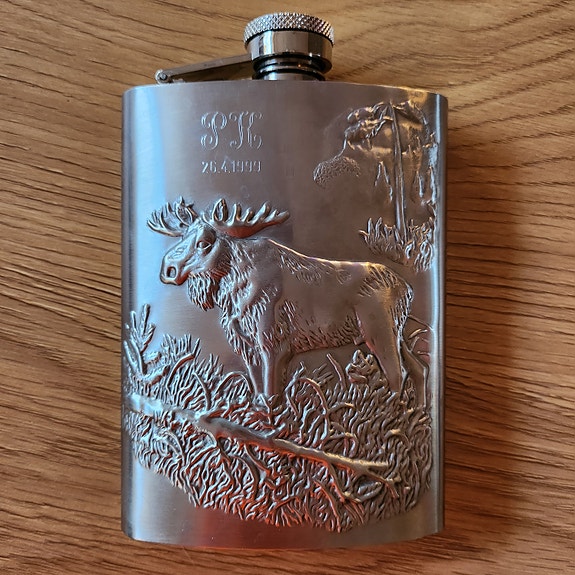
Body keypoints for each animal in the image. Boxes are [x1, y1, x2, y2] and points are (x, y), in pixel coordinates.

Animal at [148, 197, 414, 399]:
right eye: (182, 237)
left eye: (204, 243)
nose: (167, 269)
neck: (235, 293)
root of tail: (407, 288)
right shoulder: (246, 345)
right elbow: (259, 393)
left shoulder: (274, 342)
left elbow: (272, 394)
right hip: (398, 332)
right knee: (416, 369)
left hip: (379, 330)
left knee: (397, 374)